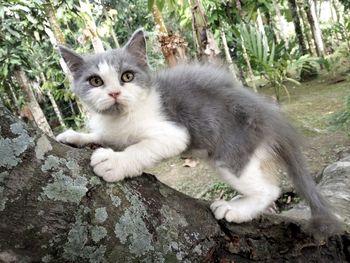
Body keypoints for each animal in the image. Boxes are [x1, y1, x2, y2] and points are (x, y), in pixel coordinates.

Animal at [58, 28, 342, 237]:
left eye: (127, 76)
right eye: (96, 81)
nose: (114, 93)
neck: (122, 117)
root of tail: (270, 114)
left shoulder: (173, 133)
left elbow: (140, 147)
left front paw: (114, 162)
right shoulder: (114, 130)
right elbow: (105, 136)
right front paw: (76, 136)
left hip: (230, 151)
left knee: (269, 189)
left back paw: (234, 209)